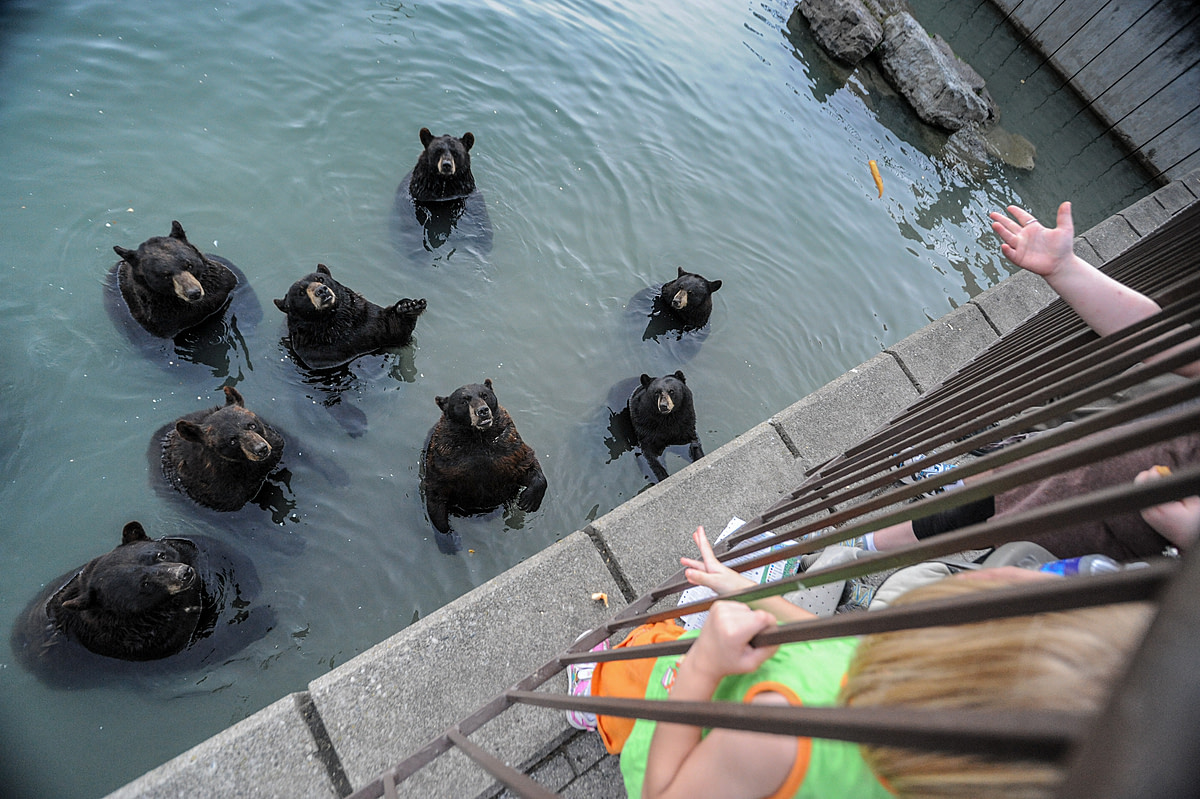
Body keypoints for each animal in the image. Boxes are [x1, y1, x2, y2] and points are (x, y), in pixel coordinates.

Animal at [272, 263, 427, 369]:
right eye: (301, 293)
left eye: (321, 279)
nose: (321, 290)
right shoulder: (314, 354)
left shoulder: (369, 320)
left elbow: (394, 331)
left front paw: (410, 306)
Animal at [391, 127, 489, 256]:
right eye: (438, 151)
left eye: (455, 153)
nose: (446, 165)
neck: (444, 184)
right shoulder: (420, 193)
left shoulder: (465, 191)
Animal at [422, 379, 549, 547]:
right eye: (464, 400)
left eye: (484, 395)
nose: (482, 411)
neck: (478, 439)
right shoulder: (445, 460)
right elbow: (436, 494)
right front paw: (449, 537)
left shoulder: (507, 449)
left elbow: (527, 464)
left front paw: (528, 500)